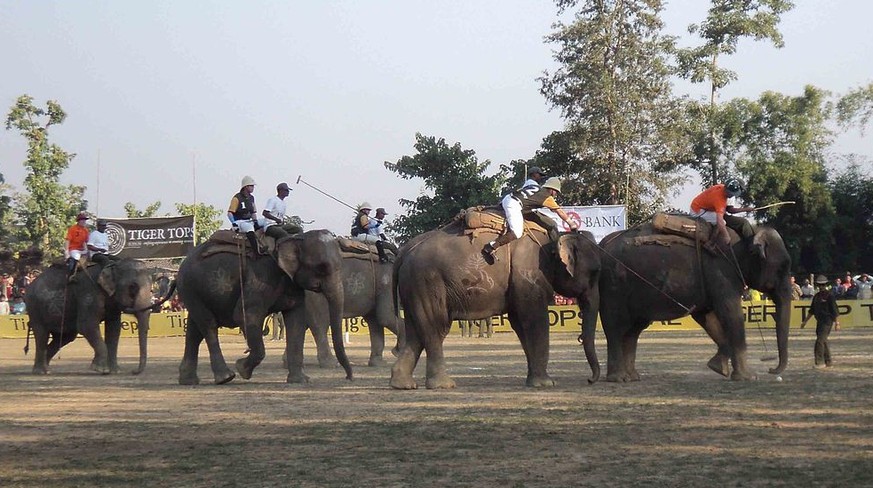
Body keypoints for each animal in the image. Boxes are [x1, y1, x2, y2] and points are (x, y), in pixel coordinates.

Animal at [23, 258, 163, 376]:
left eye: (152, 289)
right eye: (133, 288)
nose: (133, 371)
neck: (112, 265)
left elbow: (114, 329)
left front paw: (114, 371)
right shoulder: (89, 292)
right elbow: (86, 326)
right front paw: (100, 369)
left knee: (65, 337)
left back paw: (46, 369)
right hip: (34, 308)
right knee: (42, 334)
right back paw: (40, 371)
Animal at [175, 229, 352, 386]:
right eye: (322, 268)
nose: (348, 377)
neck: (294, 238)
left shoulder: (292, 284)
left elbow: (296, 321)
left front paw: (300, 380)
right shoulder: (260, 278)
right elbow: (245, 316)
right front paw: (242, 369)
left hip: (194, 291)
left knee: (194, 330)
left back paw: (188, 381)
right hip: (190, 287)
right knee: (208, 325)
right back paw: (225, 377)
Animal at [390, 217, 600, 388]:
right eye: (595, 273)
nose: (590, 380)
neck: (554, 239)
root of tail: (404, 251)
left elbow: (519, 322)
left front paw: (534, 381)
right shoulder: (528, 274)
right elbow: (533, 319)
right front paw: (546, 384)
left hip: (413, 286)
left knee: (415, 329)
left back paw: (403, 384)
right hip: (427, 281)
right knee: (436, 326)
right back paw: (443, 385)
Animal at [592, 215, 792, 384]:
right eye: (782, 268)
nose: (771, 369)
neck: (748, 235)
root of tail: (602, 246)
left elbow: (706, 317)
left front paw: (718, 367)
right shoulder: (721, 273)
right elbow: (730, 313)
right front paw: (748, 377)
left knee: (633, 330)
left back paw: (633, 377)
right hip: (614, 286)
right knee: (615, 327)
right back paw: (619, 378)